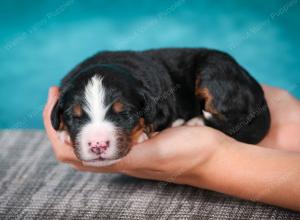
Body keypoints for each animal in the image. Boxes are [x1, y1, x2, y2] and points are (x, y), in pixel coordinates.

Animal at [51, 47, 272, 166]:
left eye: (125, 114)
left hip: (214, 70)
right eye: (74, 116)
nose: (98, 145)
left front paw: (141, 134)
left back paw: (196, 121)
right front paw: (64, 134)